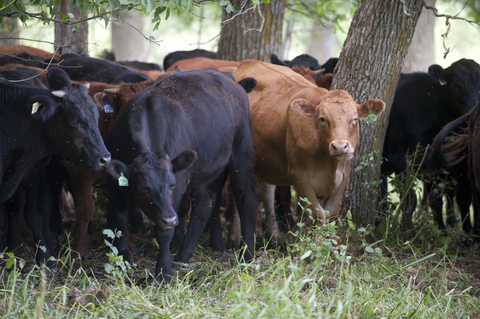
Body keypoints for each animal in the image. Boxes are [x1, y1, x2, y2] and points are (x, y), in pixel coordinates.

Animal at [0, 67, 110, 264]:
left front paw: (45, 258)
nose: (104, 158)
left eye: (96, 117)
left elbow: (34, 215)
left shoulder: (33, 172)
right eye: (77, 121)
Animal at [103, 68, 256, 282]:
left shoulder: (180, 185)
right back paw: (184, 254)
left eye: (172, 185)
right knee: (205, 205)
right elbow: (117, 221)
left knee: (245, 199)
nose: (169, 219)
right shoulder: (114, 184)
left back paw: (247, 255)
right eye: (143, 190)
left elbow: (164, 233)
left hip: (241, 157)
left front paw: (163, 273)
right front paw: (124, 259)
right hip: (206, 171)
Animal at [232, 61, 386, 239]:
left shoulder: (343, 175)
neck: (327, 162)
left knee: (267, 192)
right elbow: (317, 215)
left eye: (354, 119)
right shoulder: (299, 176)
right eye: (322, 119)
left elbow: (331, 214)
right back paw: (235, 237)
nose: (340, 146)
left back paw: (275, 236)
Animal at [382, 58, 480, 232]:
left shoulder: (436, 164)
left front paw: (443, 231)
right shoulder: (400, 158)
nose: (470, 113)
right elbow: (410, 200)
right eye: (454, 86)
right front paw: (406, 230)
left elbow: (437, 200)